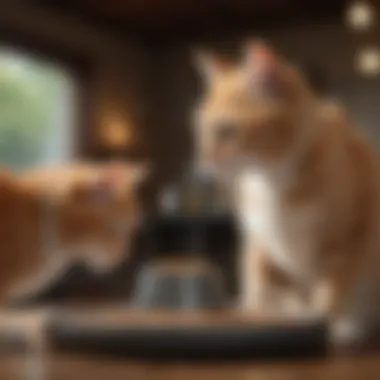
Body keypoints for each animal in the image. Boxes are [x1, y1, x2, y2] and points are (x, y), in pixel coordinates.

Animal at [194, 40, 380, 348]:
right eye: (200, 131)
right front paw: (259, 313)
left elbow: (332, 291)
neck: (272, 180)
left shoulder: (349, 237)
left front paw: (332, 325)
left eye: (227, 131)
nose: (201, 167)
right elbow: (261, 284)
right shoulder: (259, 242)